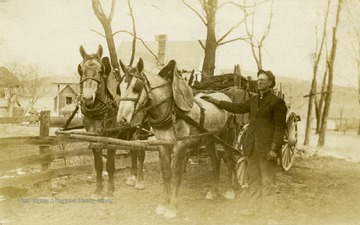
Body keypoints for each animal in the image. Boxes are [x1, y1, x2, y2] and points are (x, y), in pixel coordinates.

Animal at [116, 58, 238, 218]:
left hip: (227, 137)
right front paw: (163, 203)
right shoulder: (163, 145)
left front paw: (172, 207)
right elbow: (167, 174)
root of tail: (225, 96)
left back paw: (230, 190)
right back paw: (212, 191)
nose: (122, 119)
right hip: (209, 139)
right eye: (120, 87)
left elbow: (176, 175)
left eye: (137, 87)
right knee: (216, 162)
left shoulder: (180, 146)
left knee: (230, 160)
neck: (171, 111)